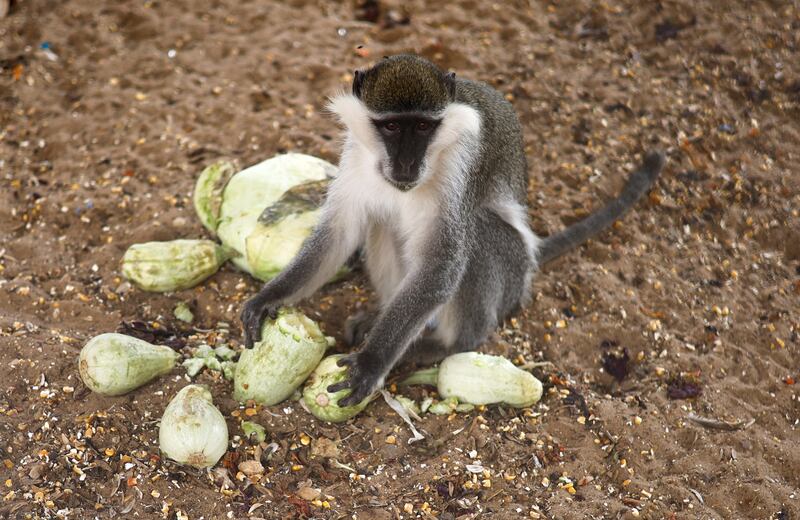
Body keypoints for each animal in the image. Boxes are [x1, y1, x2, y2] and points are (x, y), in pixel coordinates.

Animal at [241, 55, 664, 406]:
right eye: (391, 126)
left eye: (422, 127)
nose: (407, 164)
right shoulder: (356, 156)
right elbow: (338, 234)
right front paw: (269, 297)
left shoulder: (463, 166)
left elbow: (443, 262)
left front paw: (373, 361)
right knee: (383, 223)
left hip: (511, 272)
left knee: (480, 232)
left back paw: (446, 343)